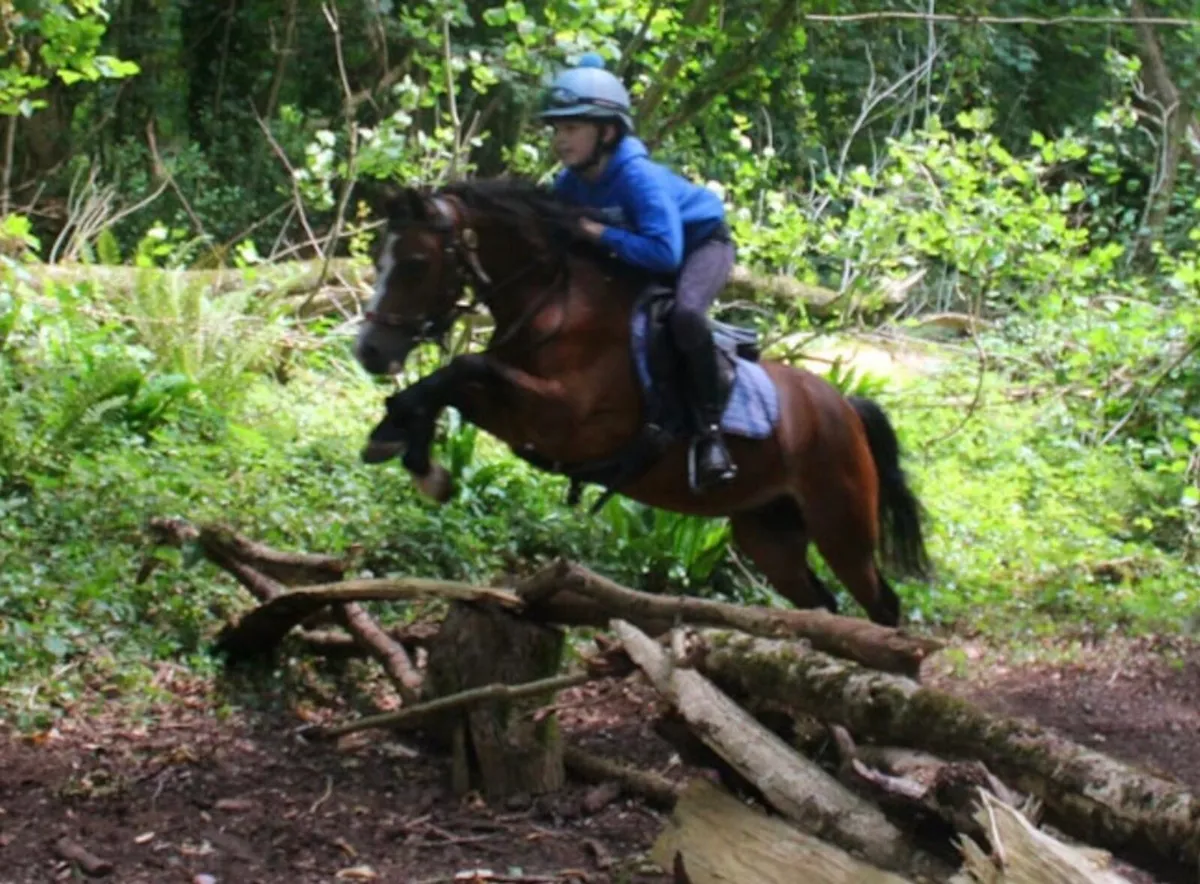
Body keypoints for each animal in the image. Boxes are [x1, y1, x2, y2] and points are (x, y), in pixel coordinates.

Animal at [353, 179, 930, 626]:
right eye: (379, 258)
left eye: (415, 263)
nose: (369, 350)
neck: (557, 306)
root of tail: (845, 407)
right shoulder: (520, 413)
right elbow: (447, 383)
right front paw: (405, 446)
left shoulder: (562, 421)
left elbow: (464, 368)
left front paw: (413, 454)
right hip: (769, 533)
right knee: (821, 606)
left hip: (842, 526)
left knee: (883, 606)